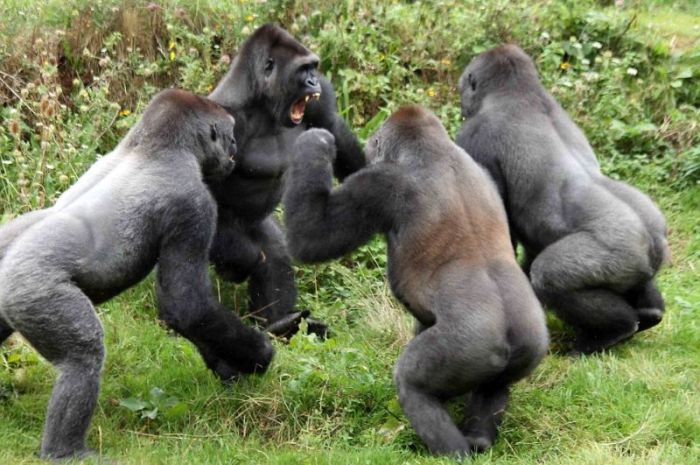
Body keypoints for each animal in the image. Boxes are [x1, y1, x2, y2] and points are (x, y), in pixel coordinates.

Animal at [0, 89, 274, 458]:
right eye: (229, 137)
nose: (233, 150)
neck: (151, 145)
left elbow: (198, 319)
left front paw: (228, 364)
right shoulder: (193, 204)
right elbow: (186, 306)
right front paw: (260, 353)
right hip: (33, 292)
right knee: (83, 356)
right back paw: (65, 452)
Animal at [206, 24, 366, 338]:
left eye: (313, 67)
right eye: (302, 70)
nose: (314, 81)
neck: (260, 99)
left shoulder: (321, 103)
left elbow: (333, 128)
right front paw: (243, 262)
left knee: (275, 251)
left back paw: (280, 324)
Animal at [282, 107, 548, 454]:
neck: (433, 148)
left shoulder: (382, 182)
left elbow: (312, 237)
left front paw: (315, 145)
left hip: (471, 345)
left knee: (412, 383)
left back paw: (452, 452)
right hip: (529, 344)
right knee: (496, 385)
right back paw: (478, 439)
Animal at [456, 45, 668, 354]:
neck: (519, 91)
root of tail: (652, 241)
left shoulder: (475, 138)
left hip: (620, 251)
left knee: (549, 277)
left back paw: (613, 331)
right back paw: (650, 314)